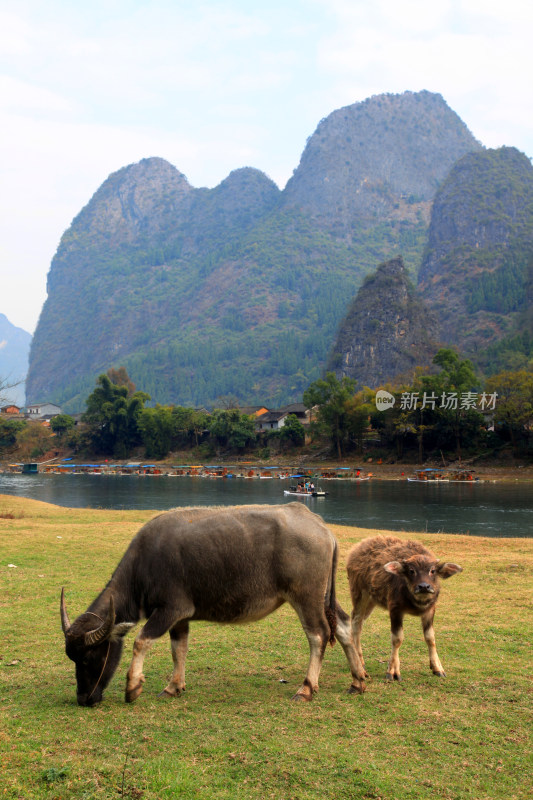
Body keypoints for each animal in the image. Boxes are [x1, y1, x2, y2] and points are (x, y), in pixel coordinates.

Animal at [61, 506, 362, 708]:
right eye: (72, 658)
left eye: (88, 657)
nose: (83, 698)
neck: (143, 565)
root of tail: (321, 526)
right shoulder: (180, 618)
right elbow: (178, 649)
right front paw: (173, 686)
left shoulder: (170, 610)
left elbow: (141, 641)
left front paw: (133, 687)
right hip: (324, 596)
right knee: (344, 626)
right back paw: (358, 680)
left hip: (306, 597)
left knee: (318, 634)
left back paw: (307, 688)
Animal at [344, 532, 462, 692]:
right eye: (411, 571)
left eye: (432, 570)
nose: (424, 586)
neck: (415, 602)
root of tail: (358, 548)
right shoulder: (395, 609)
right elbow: (397, 638)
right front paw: (393, 671)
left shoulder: (430, 610)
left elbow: (430, 638)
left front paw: (437, 668)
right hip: (359, 594)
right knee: (356, 623)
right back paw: (360, 663)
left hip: (371, 601)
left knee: (359, 621)